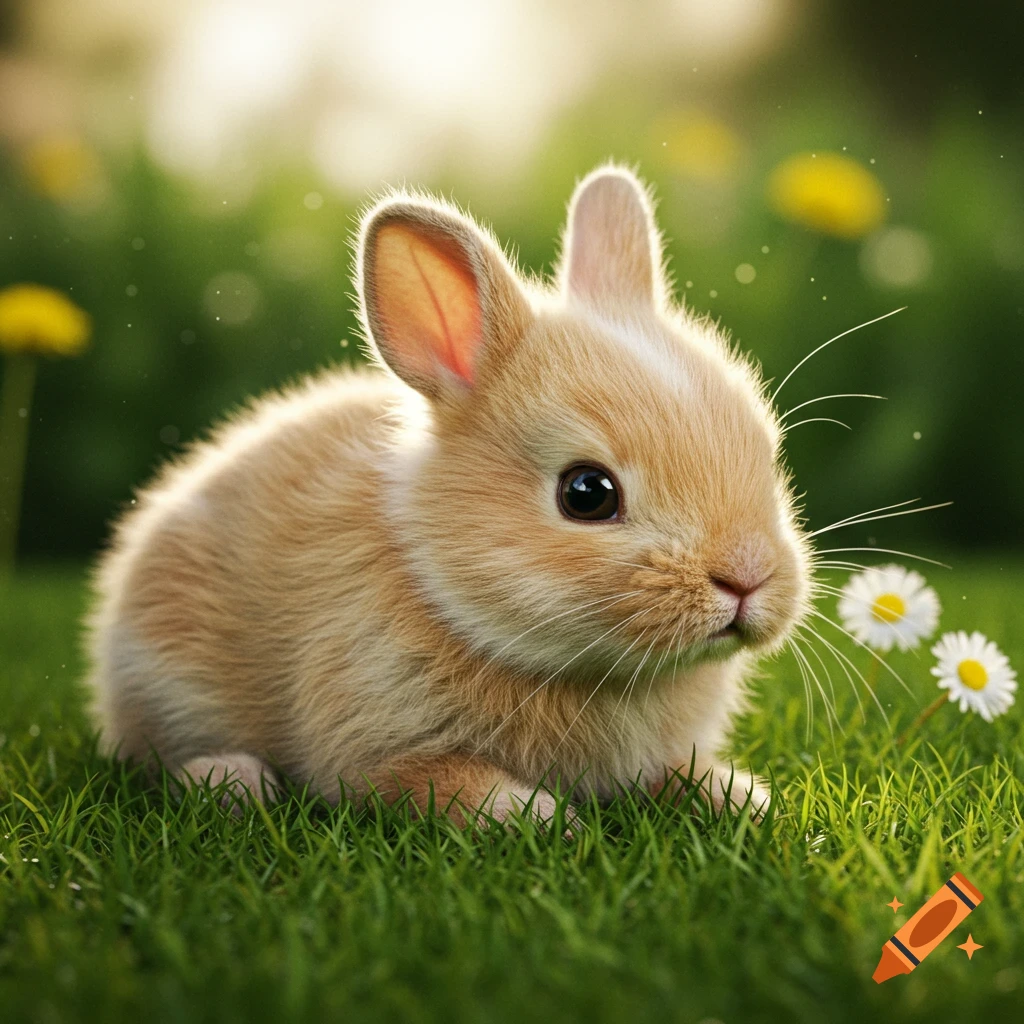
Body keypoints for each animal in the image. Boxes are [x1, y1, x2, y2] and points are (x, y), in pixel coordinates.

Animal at [86, 165, 811, 825]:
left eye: (767, 455)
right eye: (587, 493)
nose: (747, 577)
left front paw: (741, 799)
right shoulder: (380, 749)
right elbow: (442, 784)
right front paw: (543, 817)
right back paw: (232, 781)